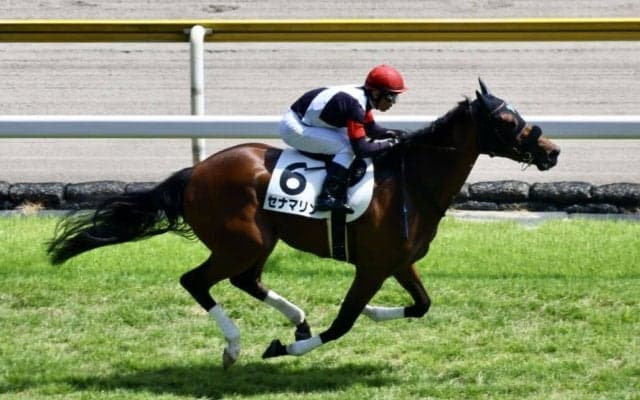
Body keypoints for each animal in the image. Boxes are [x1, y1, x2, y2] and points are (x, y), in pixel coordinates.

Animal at [47, 79, 560, 369]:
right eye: (508, 120)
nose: (552, 150)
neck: (413, 182)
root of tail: (194, 172)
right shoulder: (372, 267)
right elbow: (343, 323)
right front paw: (283, 350)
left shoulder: (399, 262)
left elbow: (421, 305)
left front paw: (376, 312)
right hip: (241, 240)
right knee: (197, 280)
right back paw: (235, 346)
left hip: (259, 240)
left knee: (245, 280)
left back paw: (295, 320)